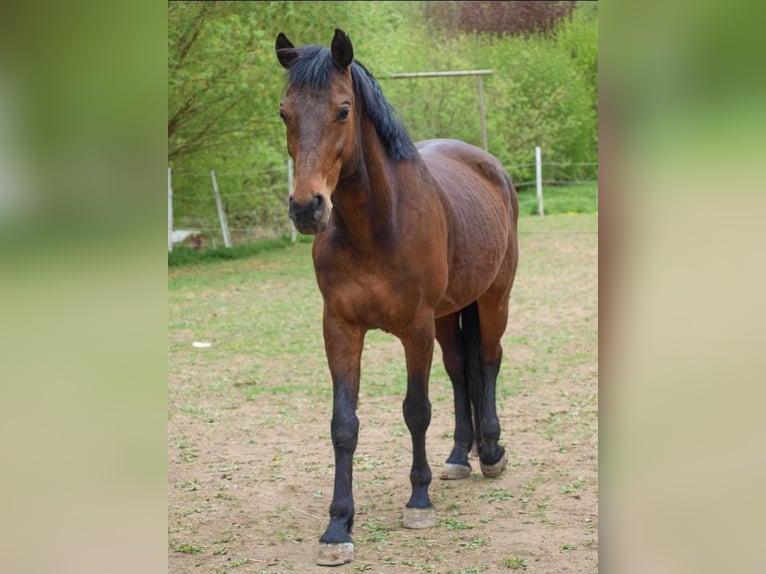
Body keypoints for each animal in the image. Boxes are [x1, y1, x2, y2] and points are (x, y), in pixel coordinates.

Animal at [276, 29, 520, 564]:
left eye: (343, 110)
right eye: (284, 112)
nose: (307, 208)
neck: (376, 226)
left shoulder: (416, 328)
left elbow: (416, 409)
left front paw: (419, 500)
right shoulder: (340, 328)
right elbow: (344, 424)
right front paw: (337, 527)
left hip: (494, 298)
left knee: (488, 361)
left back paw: (491, 452)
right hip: (451, 314)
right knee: (460, 371)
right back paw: (460, 455)